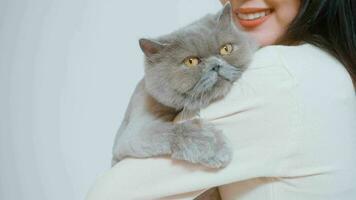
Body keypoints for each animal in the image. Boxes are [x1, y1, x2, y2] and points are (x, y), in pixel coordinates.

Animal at [112, 3, 258, 169]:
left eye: (226, 49)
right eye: (191, 61)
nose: (216, 65)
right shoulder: (133, 133)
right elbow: (176, 130)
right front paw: (214, 146)